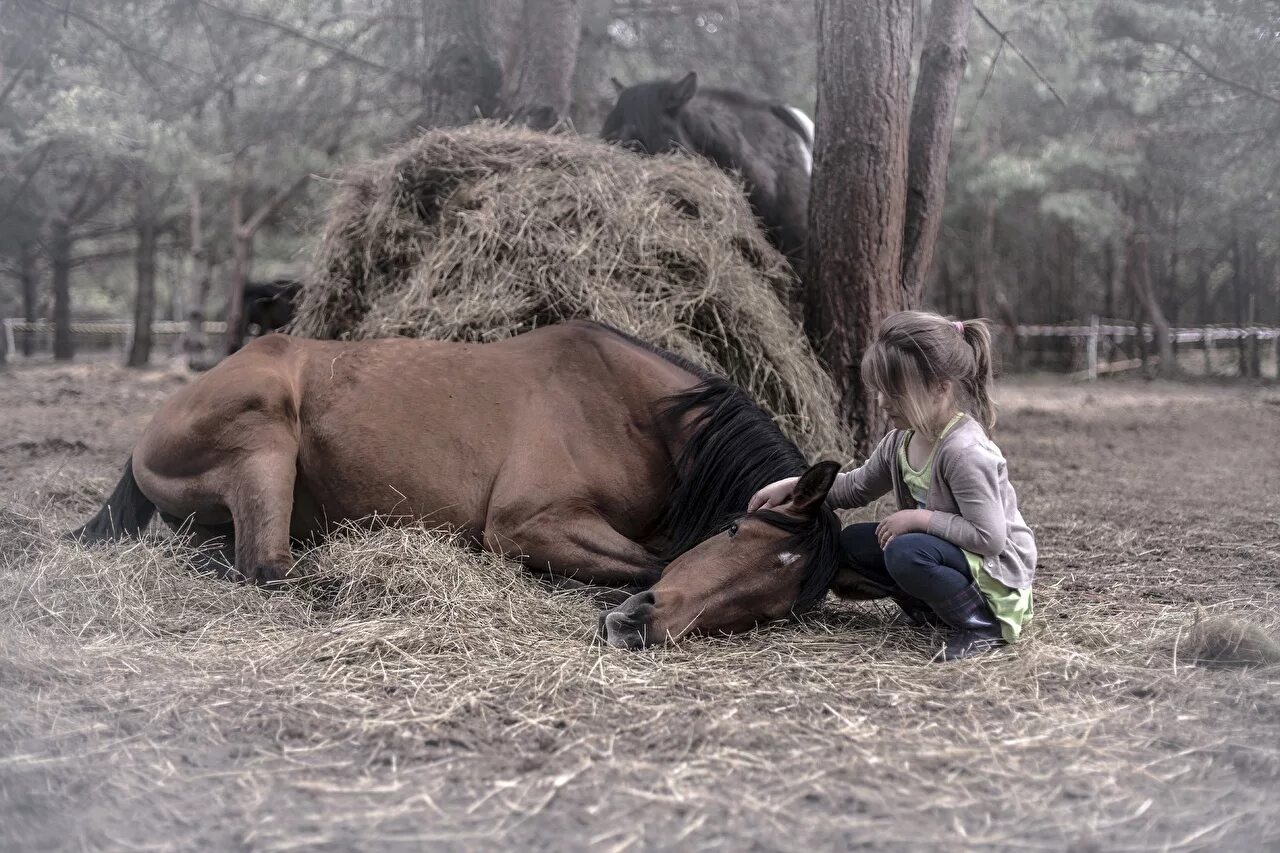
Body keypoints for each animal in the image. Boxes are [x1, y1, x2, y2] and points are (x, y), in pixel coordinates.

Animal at [74, 318, 844, 645]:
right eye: (734, 529)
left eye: (773, 605)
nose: (641, 625)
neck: (632, 413)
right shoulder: (528, 522)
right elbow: (651, 559)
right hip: (265, 438)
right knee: (266, 565)